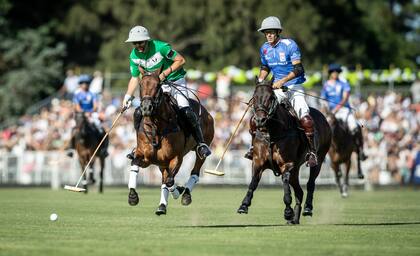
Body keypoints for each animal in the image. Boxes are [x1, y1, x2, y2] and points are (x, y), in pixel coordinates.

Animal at [128, 69, 213, 215]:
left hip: (200, 149)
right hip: (161, 162)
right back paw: (162, 206)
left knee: (194, 172)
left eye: (158, 85)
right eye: (140, 84)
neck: (156, 128)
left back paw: (185, 194)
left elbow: (169, 181)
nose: (146, 108)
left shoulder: (176, 158)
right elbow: (135, 164)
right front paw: (133, 197)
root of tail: (207, 112)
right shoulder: (145, 157)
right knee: (164, 179)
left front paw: (178, 191)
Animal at [236, 80, 332, 224]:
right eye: (254, 97)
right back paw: (295, 219)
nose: (259, 120)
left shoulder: (287, 164)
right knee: (299, 192)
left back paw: (307, 209)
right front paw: (244, 205)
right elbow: (253, 182)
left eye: (271, 97)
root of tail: (324, 117)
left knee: (310, 183)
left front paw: (287, 212)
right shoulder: (258, 162)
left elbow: (285, 185)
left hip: (318, 160)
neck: (272, 132)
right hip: (296, 169)